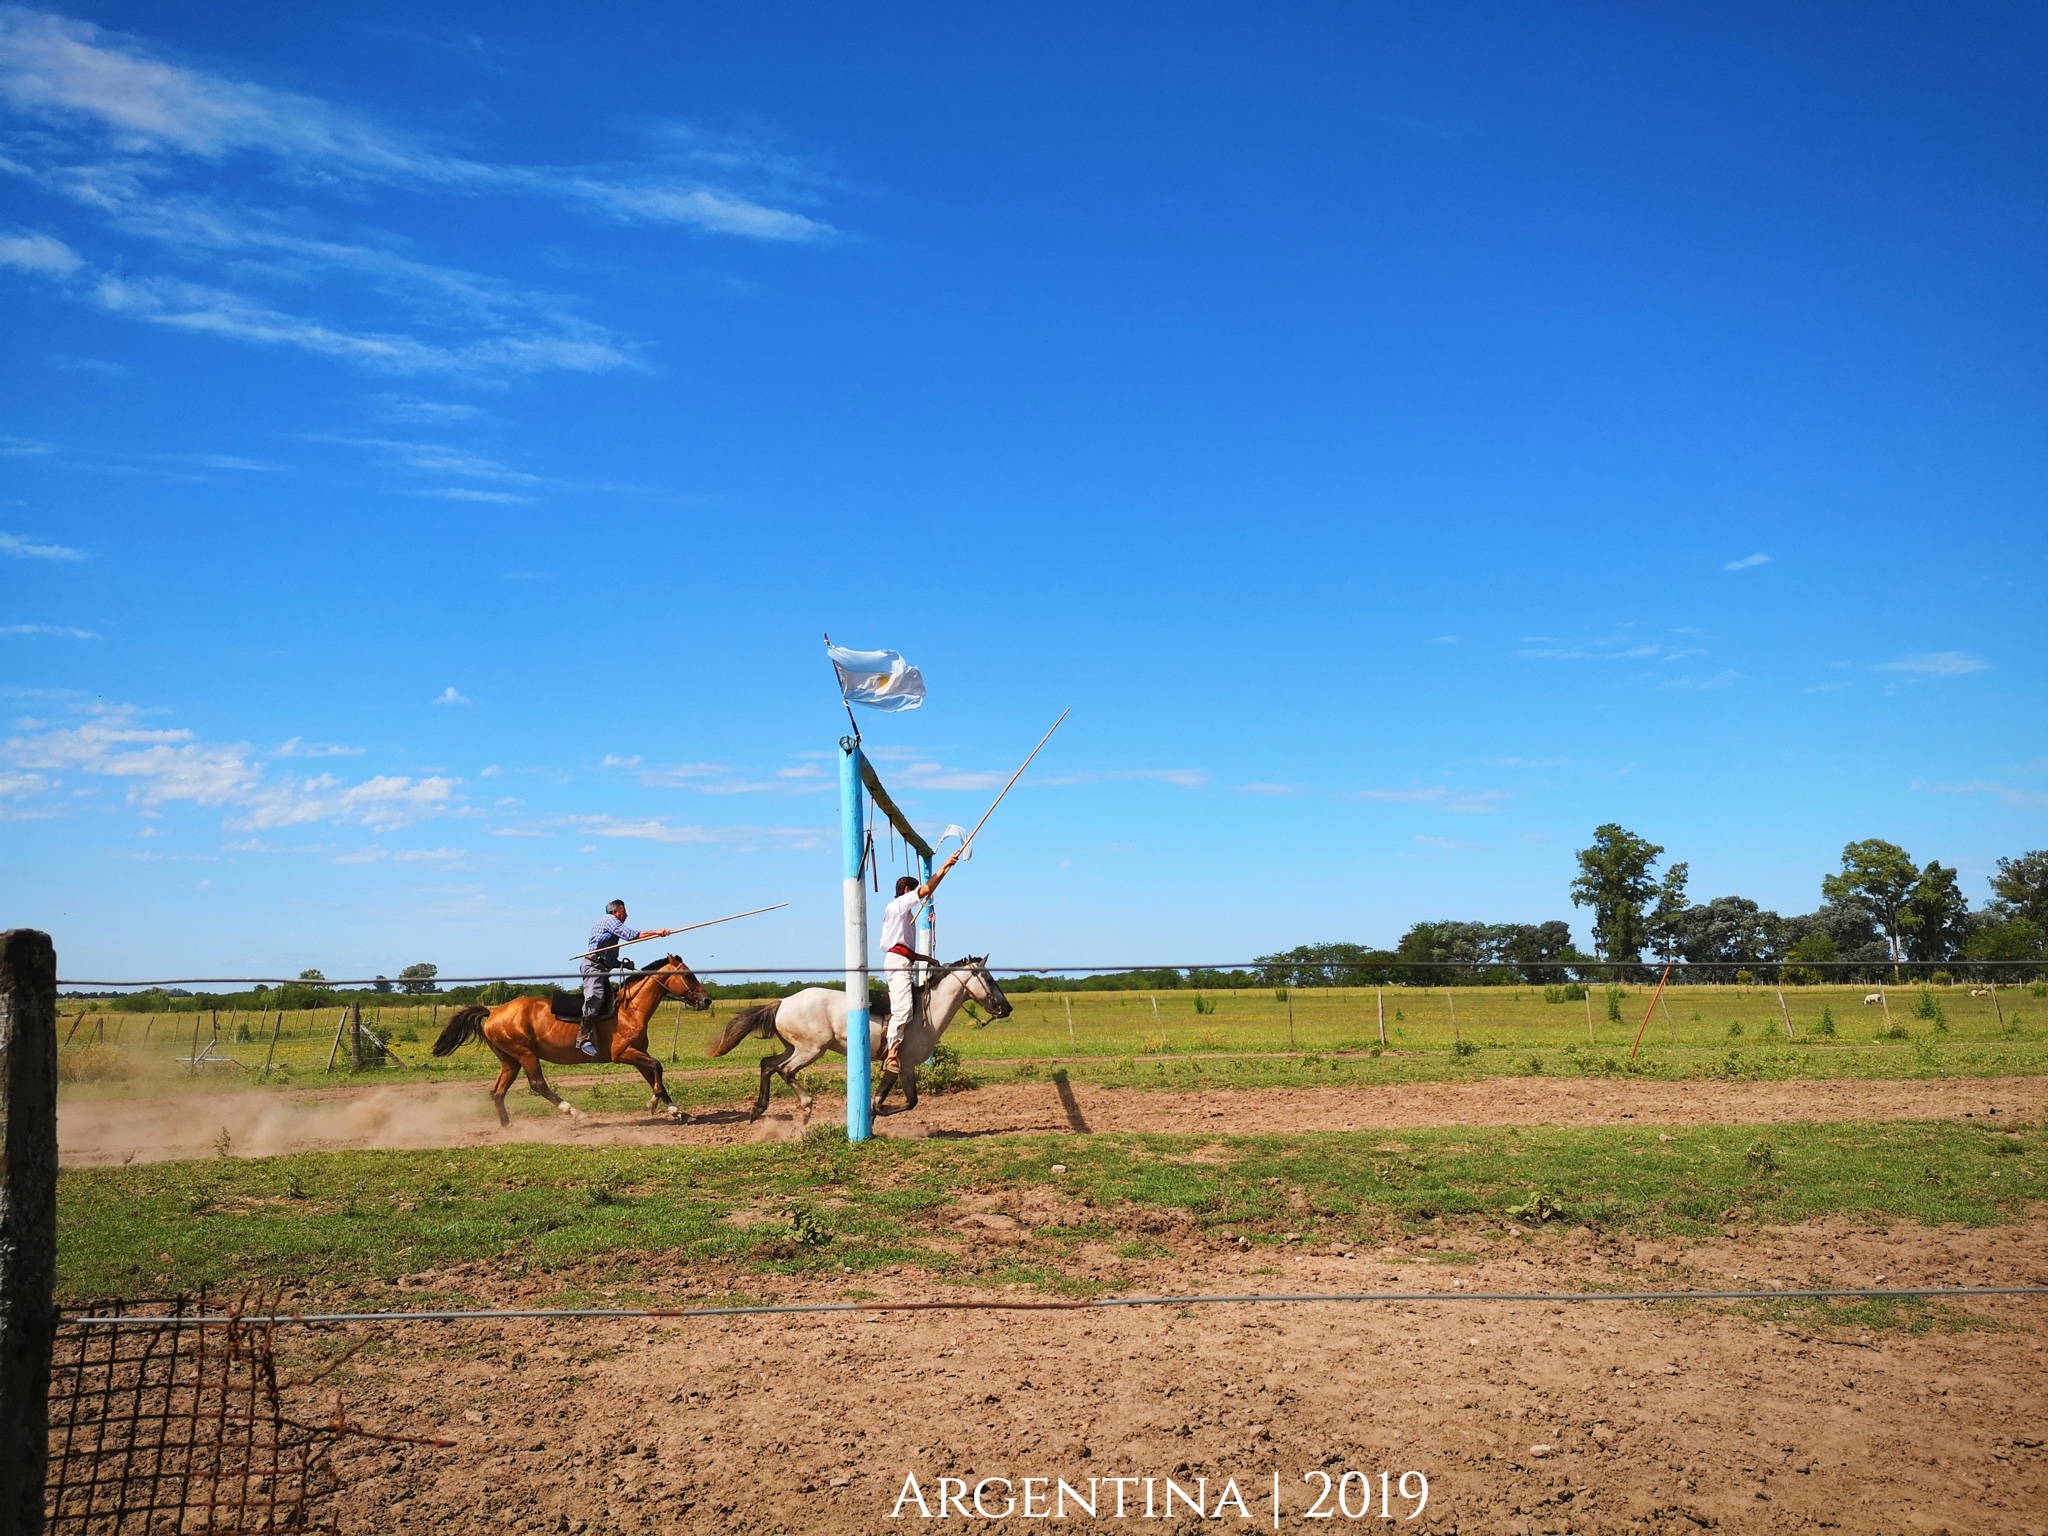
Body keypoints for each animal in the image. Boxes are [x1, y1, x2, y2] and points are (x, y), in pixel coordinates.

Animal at [428, 958, 708, 1122]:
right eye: (688, 975)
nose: (706, 1000)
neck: (630, 1010)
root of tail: (493, 1011)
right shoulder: (623, 1054)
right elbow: (658, 1067)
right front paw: (652, 1105)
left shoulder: (638, 1054)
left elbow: (655, 1076)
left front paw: (675, 1109)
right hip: (525, 1054)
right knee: (538, 1084)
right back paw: (574, 1112)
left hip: (510, 1061)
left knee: (497, 1092)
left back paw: (507, 1126)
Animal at [712, 958, 1015, 1122]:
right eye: (989, 978)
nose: (1007, 1008)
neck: (925, 1012)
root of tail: (783, 1002)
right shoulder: (904, 1065)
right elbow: (907, 1101)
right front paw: (871, 1114)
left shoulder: (897, 1068)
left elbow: (886, 1099)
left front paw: (870, 1114)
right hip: (811, 1050)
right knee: (785, 1071)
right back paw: (806, 1105)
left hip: (793, 1047)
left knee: (767, 1064)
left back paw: (758, 1109)